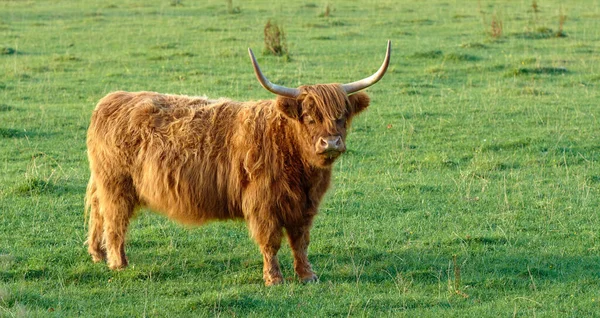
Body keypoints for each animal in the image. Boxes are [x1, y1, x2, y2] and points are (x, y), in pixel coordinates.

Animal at [86, 40, 392, 286]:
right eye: (309, 117)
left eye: (342, 116)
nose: (330, 143)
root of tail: (111, 99)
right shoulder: (263, 204)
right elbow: (271, 241)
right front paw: (274, 279)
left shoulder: (305, 206)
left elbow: (300, 241)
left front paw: (307, 275)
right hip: (116, 185)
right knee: (115, 221)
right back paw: (118, 263)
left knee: (98, 213)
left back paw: (97, 255)